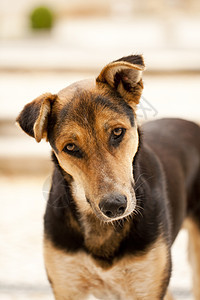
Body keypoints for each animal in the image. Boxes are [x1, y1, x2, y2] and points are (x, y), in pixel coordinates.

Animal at [16, 55, 200, 298]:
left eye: (117, 132)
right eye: (71, 147)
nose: (114, 206)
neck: (101, 226)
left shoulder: (146, 287)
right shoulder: (67, 286)